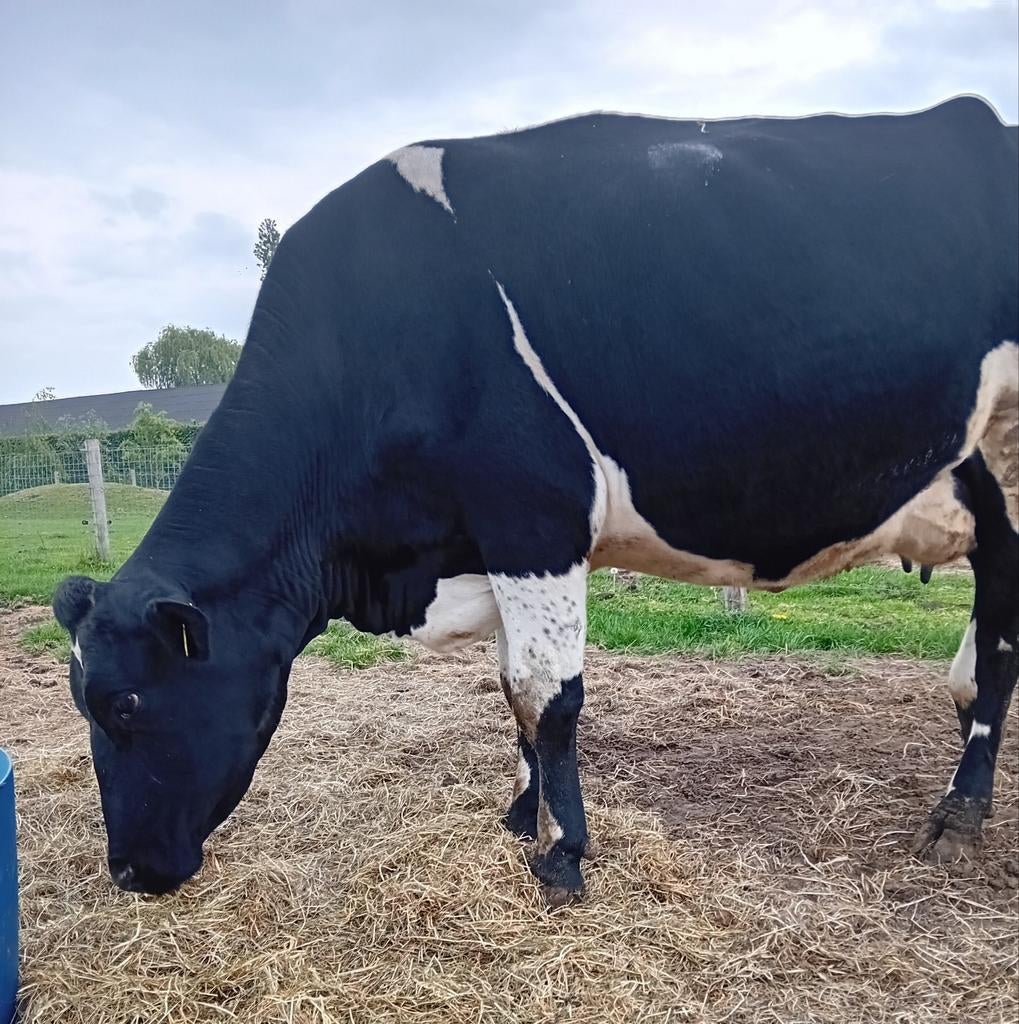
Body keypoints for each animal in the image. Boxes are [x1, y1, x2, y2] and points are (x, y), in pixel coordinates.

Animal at [53, 96, 1017, 907]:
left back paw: (957, 818)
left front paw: (563, 855)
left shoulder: (533, 519)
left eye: (126, 705)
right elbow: (509, 687)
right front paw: (523, 818)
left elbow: (544, 694)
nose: (128, 871)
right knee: (977, 661)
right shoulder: (489, 541)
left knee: (999, 656)